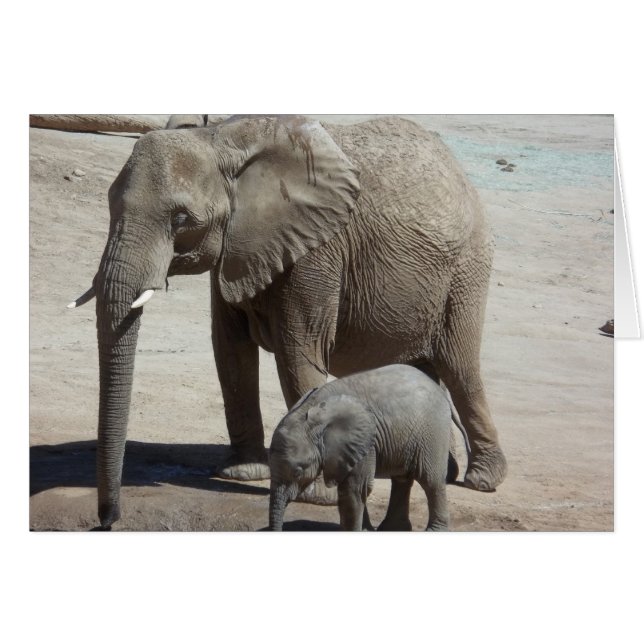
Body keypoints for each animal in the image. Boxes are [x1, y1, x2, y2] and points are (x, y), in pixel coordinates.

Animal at [268, 364, 455, 531]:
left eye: (298, 472)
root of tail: (437, 386)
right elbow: (351, 489)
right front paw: (364, 531)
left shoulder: (364, 442)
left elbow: (355, 488)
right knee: (402, 479)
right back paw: (392, 529)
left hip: (433, 430)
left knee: (431, 480)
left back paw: (434, 531)